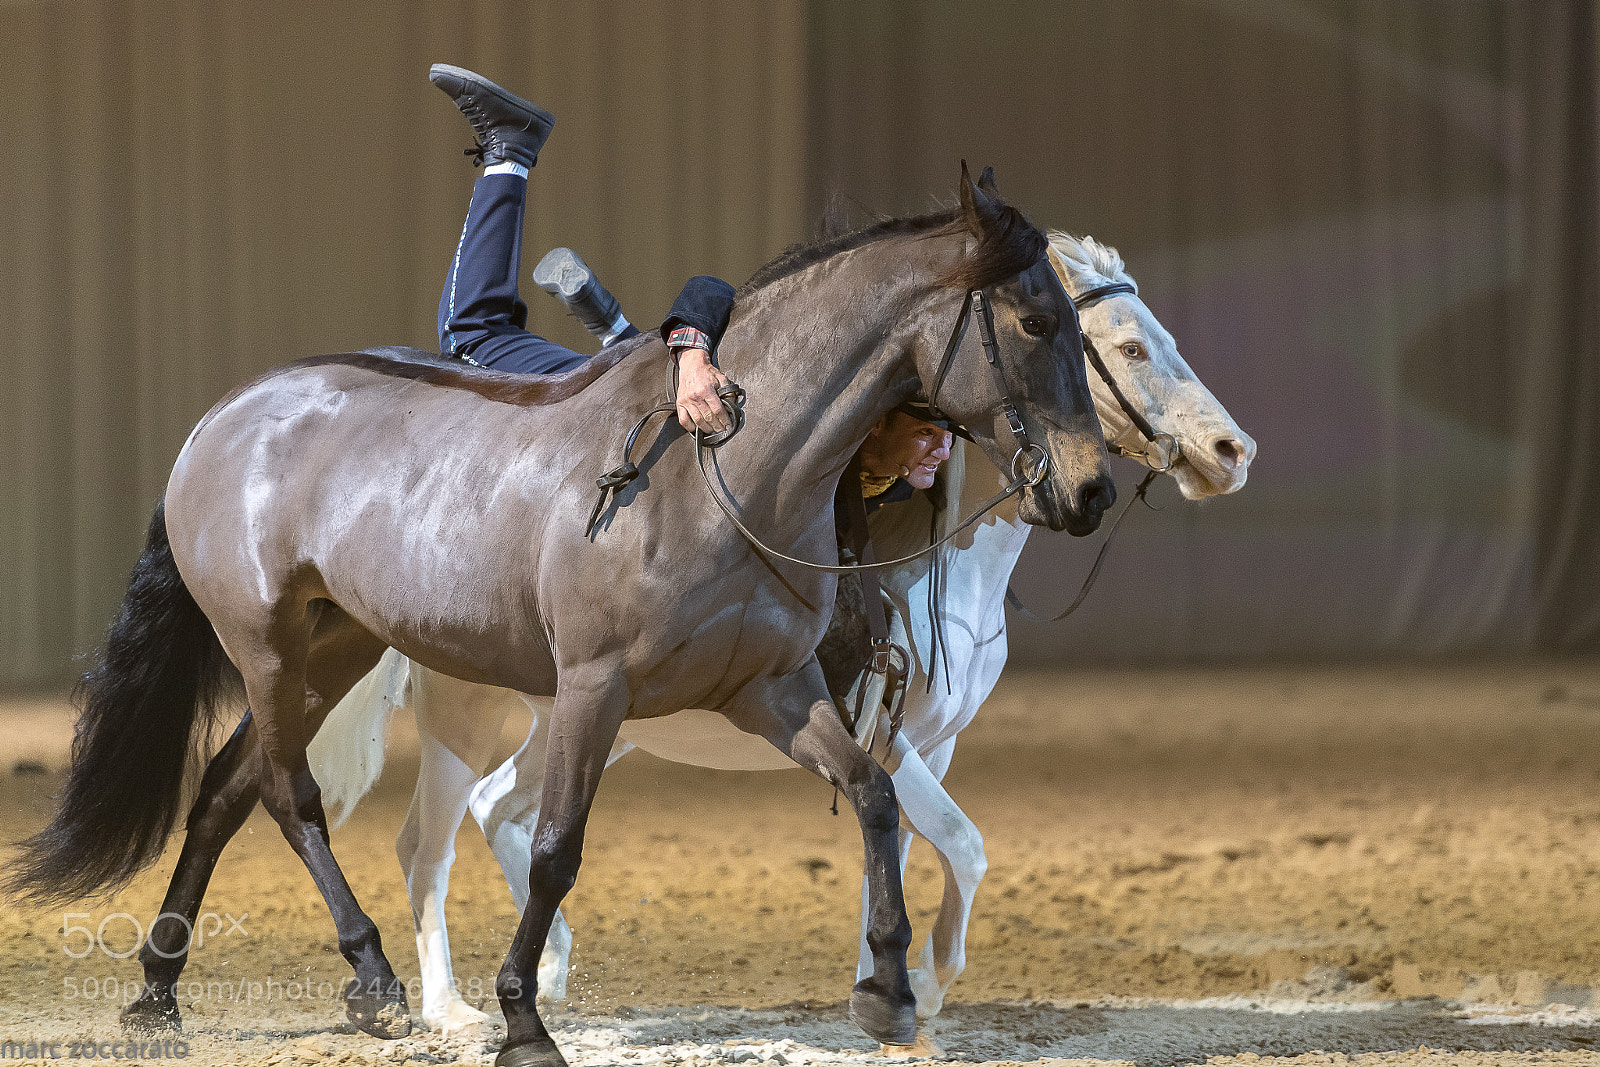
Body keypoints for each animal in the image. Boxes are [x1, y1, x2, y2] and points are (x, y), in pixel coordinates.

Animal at [8, 166, 1114, 1067]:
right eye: (1033, 323)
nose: (1090, 489)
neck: (717, 471)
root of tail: (224, 417)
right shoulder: (594, 685)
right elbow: (554, 848)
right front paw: (523, 1020)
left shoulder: (772, 689)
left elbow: (875, 793)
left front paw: (886, 990)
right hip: (268, 647)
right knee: (289, 792)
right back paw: (372, 979)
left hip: (337, 645)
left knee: (224, 791)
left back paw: (159, 994)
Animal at [299, 230, 1256, 1042]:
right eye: (1128, 347)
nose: (1231, 449)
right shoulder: (890, 733)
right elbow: (966, 844)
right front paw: (927, 980)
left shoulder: (926, 744)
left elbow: (905, 844)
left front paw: (888, 985)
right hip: (473, 718)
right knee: (428, 844)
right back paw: (448, 1007)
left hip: (583, 720)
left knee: (500, 807)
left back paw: (551, 970)